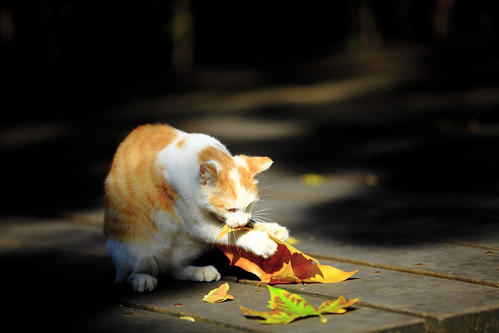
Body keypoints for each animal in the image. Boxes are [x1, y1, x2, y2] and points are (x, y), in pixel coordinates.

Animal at [103, 124, 290, 290]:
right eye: (230, 209)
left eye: (250, 205)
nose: (242, 222)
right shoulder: (195, 221)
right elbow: (233, 233)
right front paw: (259, 241)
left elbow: (242, 226)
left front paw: (272, 229)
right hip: (133, 248)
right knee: (133, 271)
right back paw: (142, 278)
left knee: (170, 270)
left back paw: (199, 272)